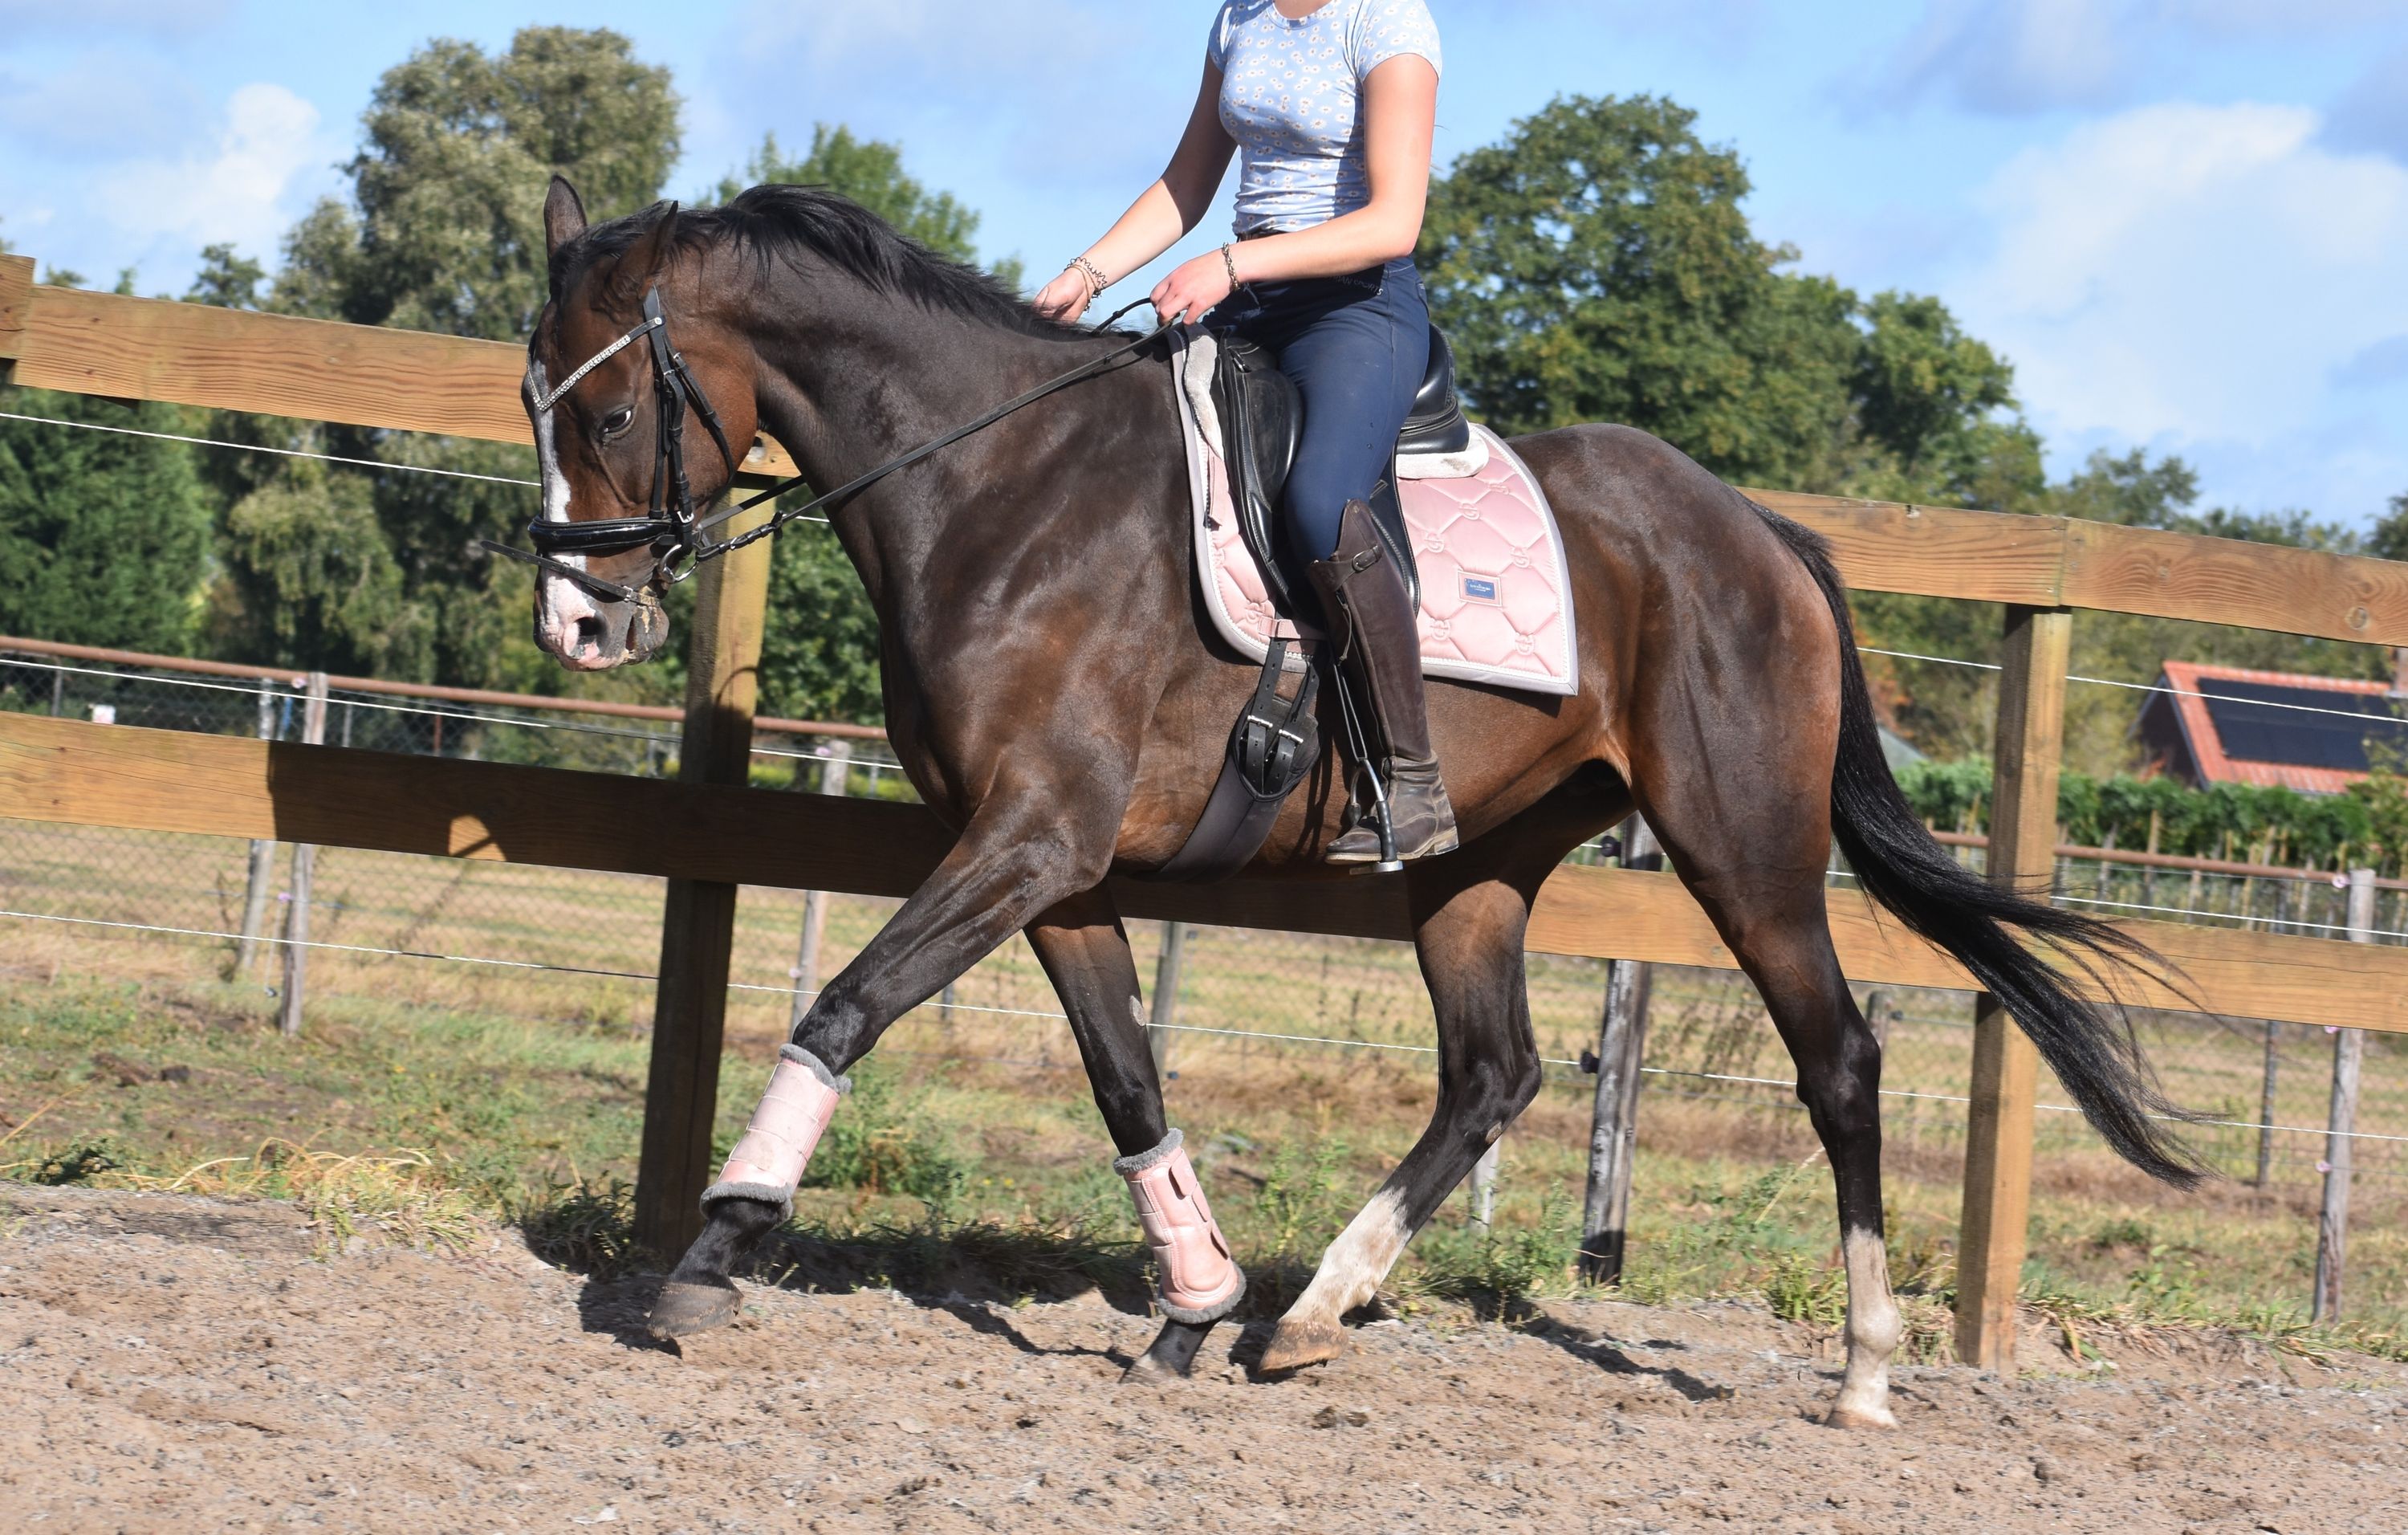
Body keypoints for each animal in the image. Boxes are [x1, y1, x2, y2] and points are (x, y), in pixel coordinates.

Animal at [520, 176, 2197, 1430]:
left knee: (1837, 1058)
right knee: (1492, 1072)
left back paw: (1863, 1373)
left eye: (605, 418)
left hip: (1747, 852)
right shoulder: (1052, 863)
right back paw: (1309, 1312)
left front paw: (718, 1246)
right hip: (1480, 862)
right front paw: (1195, 1306)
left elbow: (848, 1007)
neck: (1003, 488)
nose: (578, 625)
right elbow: (1125, 1077)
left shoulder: (1031, 838)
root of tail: (1760, 530)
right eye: (532, 400)